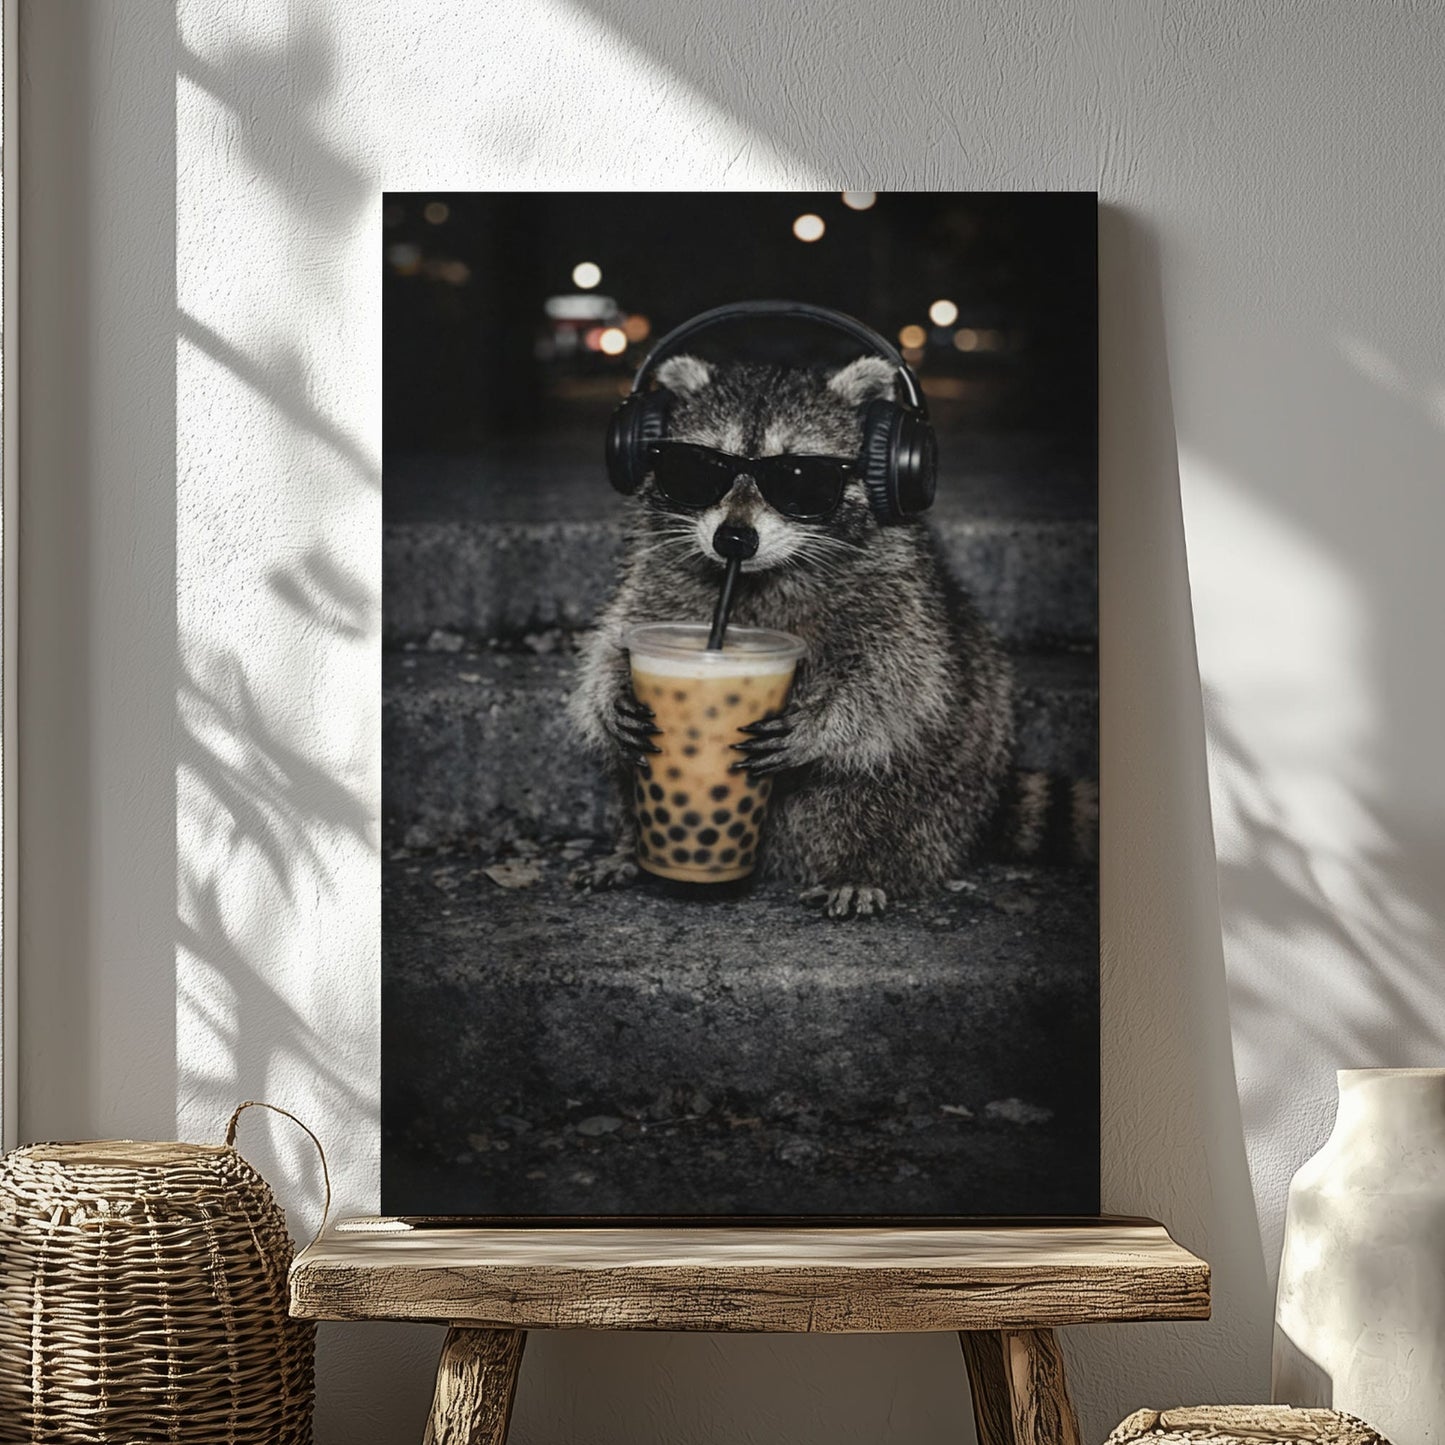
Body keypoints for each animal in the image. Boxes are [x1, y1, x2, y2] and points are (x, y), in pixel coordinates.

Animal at [569, 353, 1083, 918]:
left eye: (799, 478)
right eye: (699, 469)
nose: (733, 538)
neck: (759, 576)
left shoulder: (898, 589)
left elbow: (903, 678)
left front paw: (822, 721)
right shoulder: (658, 574)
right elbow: (613, 639)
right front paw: (612, 692)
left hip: (954, 774)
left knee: (887, 791)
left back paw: (864, 866)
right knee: (625, 773)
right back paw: (629, 848)